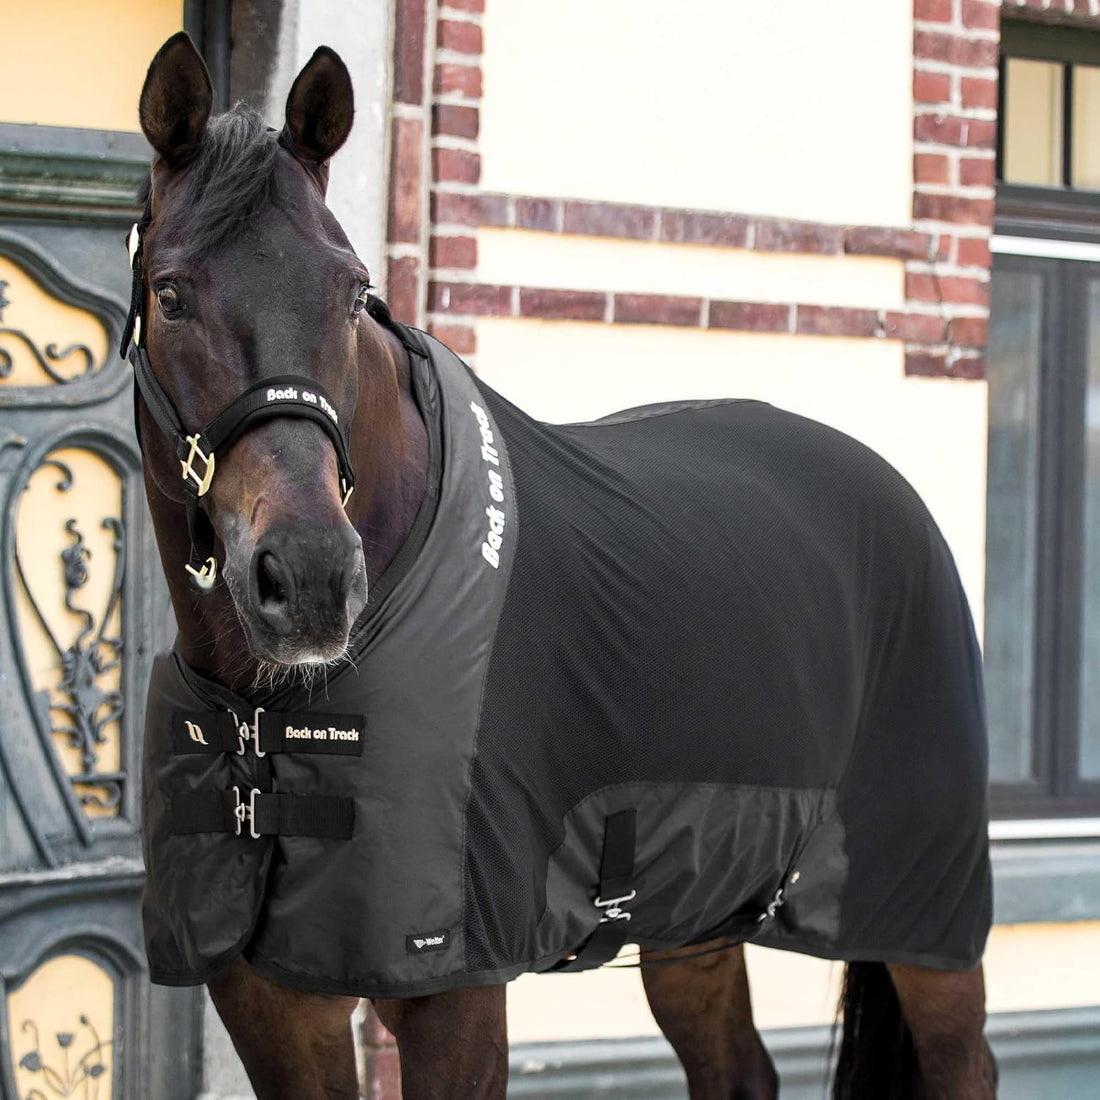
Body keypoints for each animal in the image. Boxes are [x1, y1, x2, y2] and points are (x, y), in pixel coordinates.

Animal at [128, 32, 997, 1099]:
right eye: (171, 294)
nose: (314, 579)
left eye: (349, 290)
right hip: (696, 916)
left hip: (925, 918)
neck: (265, 712)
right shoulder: (266, 1002)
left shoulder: (454, 998)